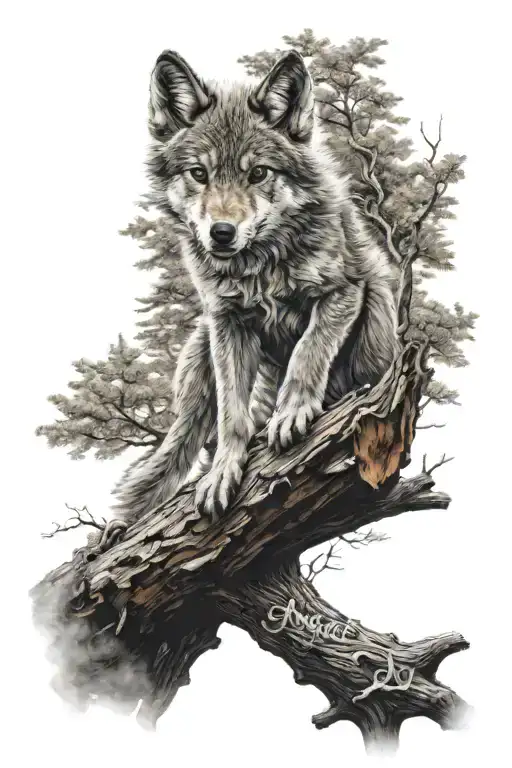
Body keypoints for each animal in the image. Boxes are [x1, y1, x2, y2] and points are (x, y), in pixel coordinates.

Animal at [113, 48, 398, 523]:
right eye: (199, 173)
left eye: (258, 173)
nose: (222, 233)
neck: (259, 268)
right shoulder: (226, 323)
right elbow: (233, 414)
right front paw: (224, 472)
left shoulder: (345, 290)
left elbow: (308, 352)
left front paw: (293, 412)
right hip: (199, 357)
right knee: (180, 447)